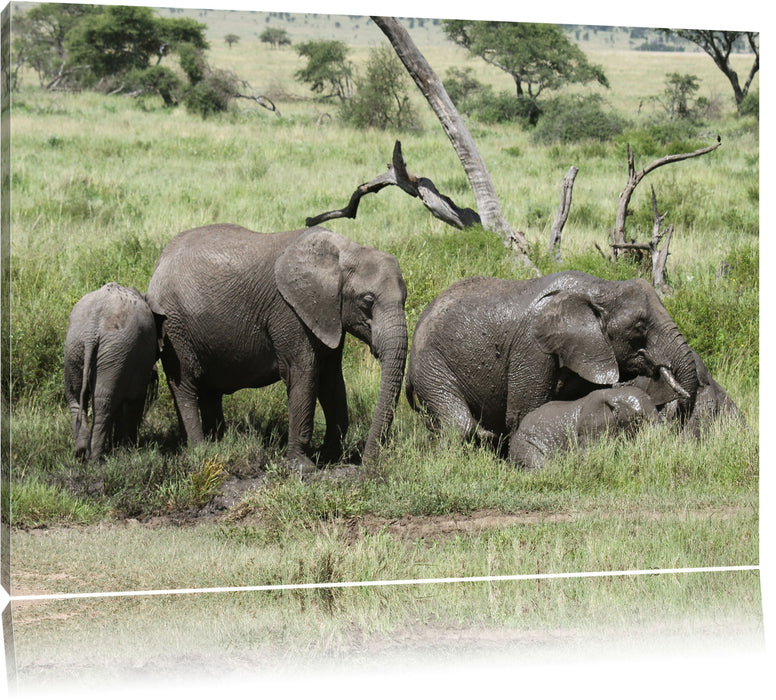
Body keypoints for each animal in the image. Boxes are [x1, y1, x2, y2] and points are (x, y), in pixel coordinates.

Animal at [65, 282, 159, 462]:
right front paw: (128, 450)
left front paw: (118, 448)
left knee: (76, 396)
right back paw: (96, 460)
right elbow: (135, 399)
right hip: (114, 349)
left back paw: (81, 453)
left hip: (77, 346)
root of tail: (91, 330)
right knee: (104, 402)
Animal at [148, 224, 410, 470]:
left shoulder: (327, 314)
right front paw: (304, 467)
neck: (344, 253)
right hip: (175, 326)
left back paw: (218, 444)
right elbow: (303, 374)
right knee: (186, 384)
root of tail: (159, 262)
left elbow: (332, 380)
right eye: (367, 301)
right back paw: (201, 451)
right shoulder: (290, 311)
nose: (367, 462)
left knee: (209, 391)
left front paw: (330, 458)